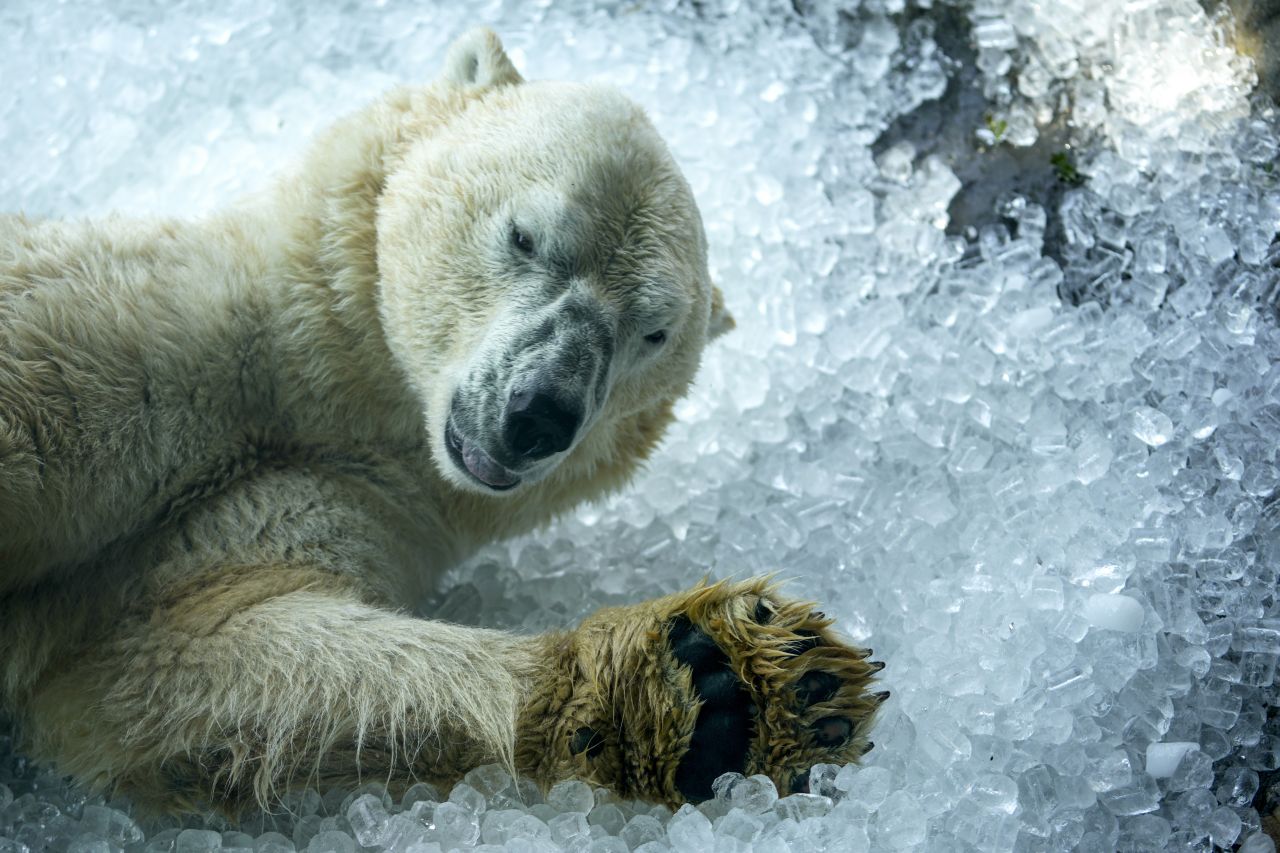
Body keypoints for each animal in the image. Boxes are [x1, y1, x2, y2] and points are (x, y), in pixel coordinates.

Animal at [0, 28, 880, 809]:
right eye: (527, 236)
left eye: (654, 330)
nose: (539, 413)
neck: (336, 398)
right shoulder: (149, 329)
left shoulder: (365, 490)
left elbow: (186, 657)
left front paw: (738, 689)